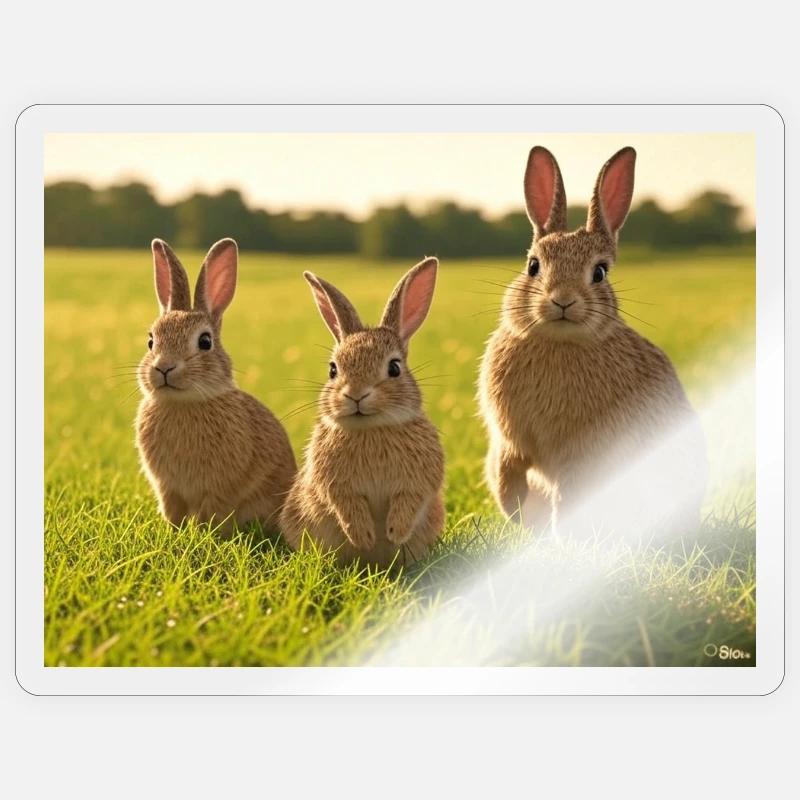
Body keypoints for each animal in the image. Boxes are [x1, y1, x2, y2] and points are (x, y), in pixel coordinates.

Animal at [135, 238, 297, 536]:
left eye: (205, 341)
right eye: (151, 341)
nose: (164, 368)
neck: (183, 403)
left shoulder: (219, 488)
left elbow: (210, 512)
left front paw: (202, 535)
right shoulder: (168, 488)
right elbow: (172, 511)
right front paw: (173, 532)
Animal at [280, 258, 445, 568]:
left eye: (394, 367)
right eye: (333, 369)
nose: (355, 394)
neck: (371, 428)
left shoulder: (418, 481)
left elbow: (410, 500)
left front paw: (394, 532)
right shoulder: (335, 485)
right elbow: (346, 505)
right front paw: (364, 537)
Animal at [478, 146, 707, 539]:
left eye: (599, 272)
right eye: (533, 266)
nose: (562, 300)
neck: (558, 342)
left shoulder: (582, 454)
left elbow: (569, 495)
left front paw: (561, 538)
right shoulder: (509, 444)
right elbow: (509, 474)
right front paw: (516, 514)